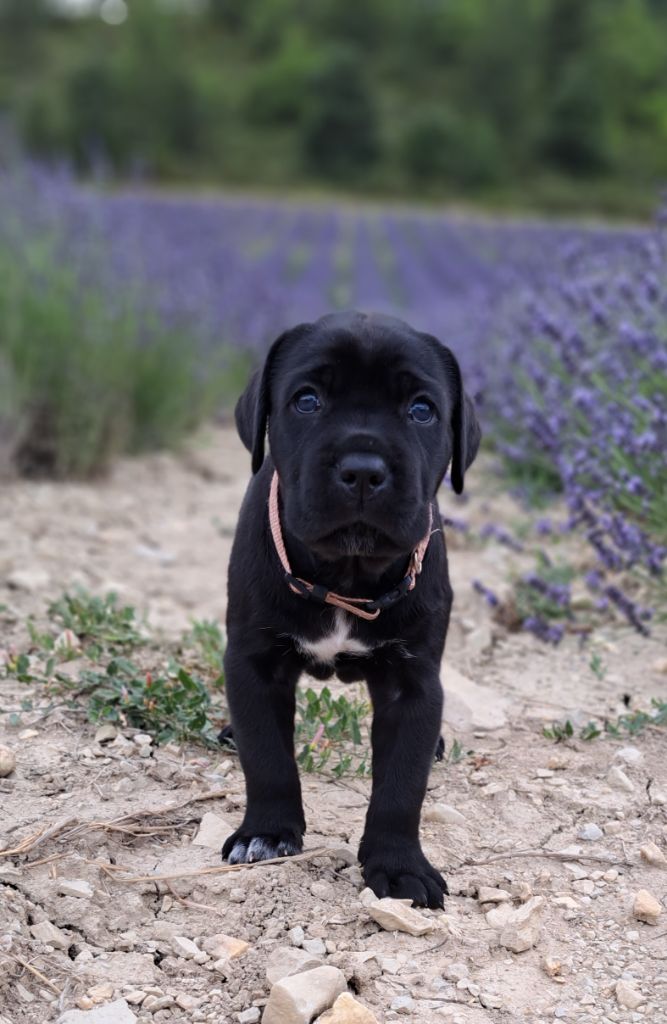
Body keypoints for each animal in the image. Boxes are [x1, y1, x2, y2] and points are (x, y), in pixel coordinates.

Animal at [223, 309, 479, 905]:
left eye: (422, 410)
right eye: (307, 400)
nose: (363, 468)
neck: (346, 575)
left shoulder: (413, 684)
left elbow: (402, 783)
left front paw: (400, 865)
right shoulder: (251, 663)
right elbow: (266, 755)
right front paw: (266, 833)